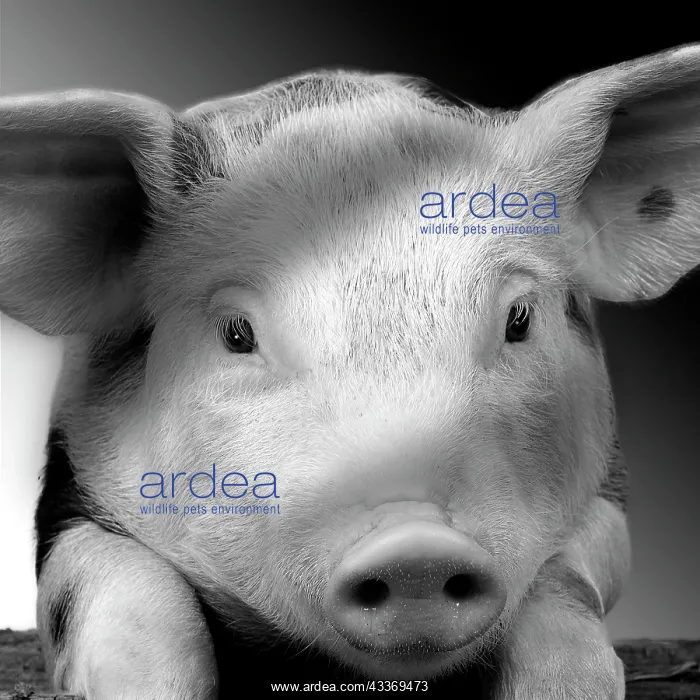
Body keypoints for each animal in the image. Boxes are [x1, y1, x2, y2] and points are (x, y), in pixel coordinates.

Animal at [1, 43, 700, 699]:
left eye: (520, 318)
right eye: (236, 334)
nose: (414, 549)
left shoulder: (608, 490)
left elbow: (568, 585)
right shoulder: (72, 486)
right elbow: (128, 597)